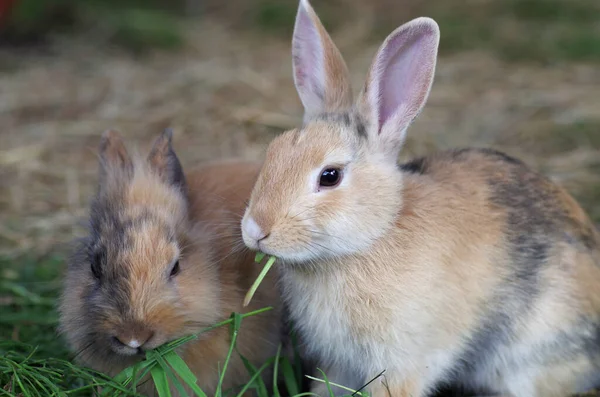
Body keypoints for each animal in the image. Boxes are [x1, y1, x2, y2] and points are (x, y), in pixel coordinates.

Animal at [239, 0, 600, 396]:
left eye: (329, 176)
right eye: (272, 152)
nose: (256, 230)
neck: (374, 237)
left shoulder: (402, 365)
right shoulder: (341, 366)